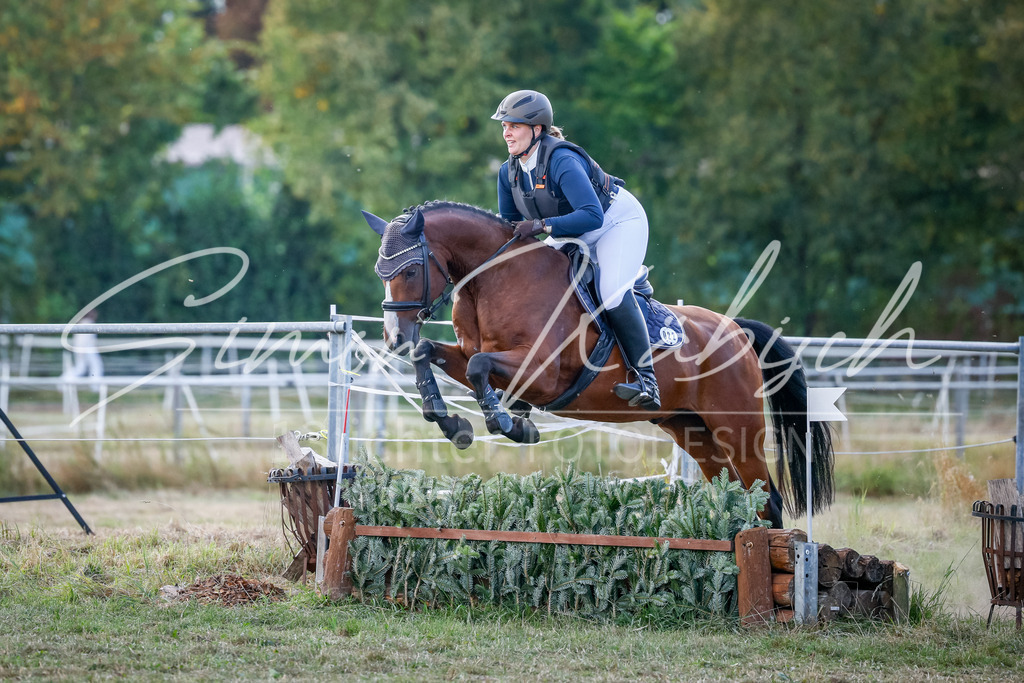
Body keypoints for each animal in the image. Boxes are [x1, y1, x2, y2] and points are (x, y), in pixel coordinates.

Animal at [363, 201, 834, 528]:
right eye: (379, 272)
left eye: (409, 270)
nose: (394, 338)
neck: (494, 281)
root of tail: (736, 330)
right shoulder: (475, 358)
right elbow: (435, 355)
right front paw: (450, 421)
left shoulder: (543, 373)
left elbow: (480, 367)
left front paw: (510, 424)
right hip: (694, 432)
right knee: (740, 495)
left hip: (738, 430)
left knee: (767, 500)